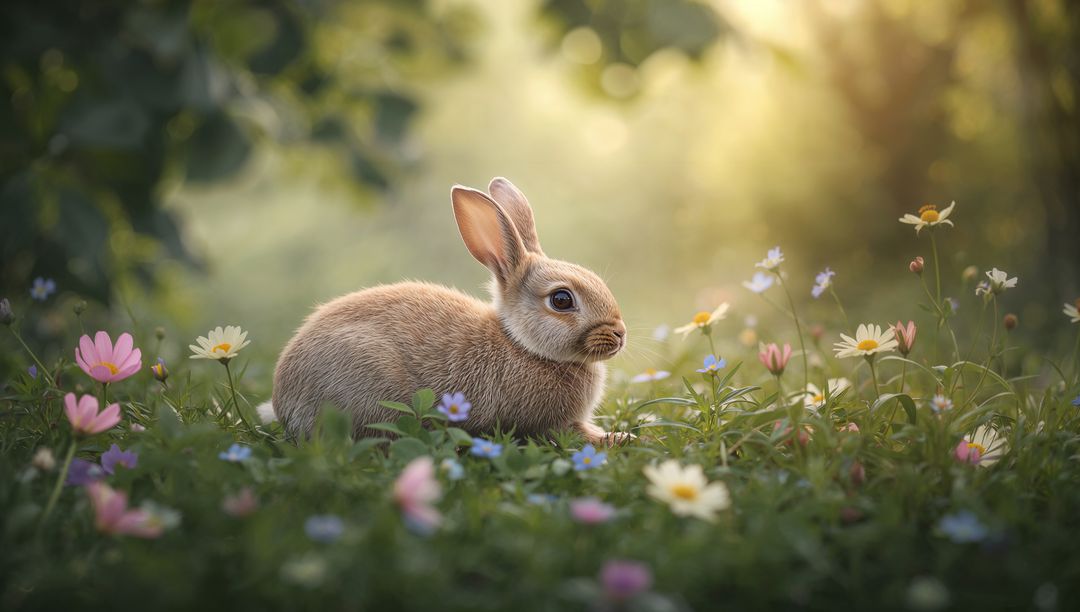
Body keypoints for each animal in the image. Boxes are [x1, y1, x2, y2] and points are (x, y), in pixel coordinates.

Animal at [270, 177, 629, 446]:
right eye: (561, 300)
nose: (620, 335)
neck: (521, 345)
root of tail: (283, 401)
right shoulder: (547, 424)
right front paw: (619, 438)